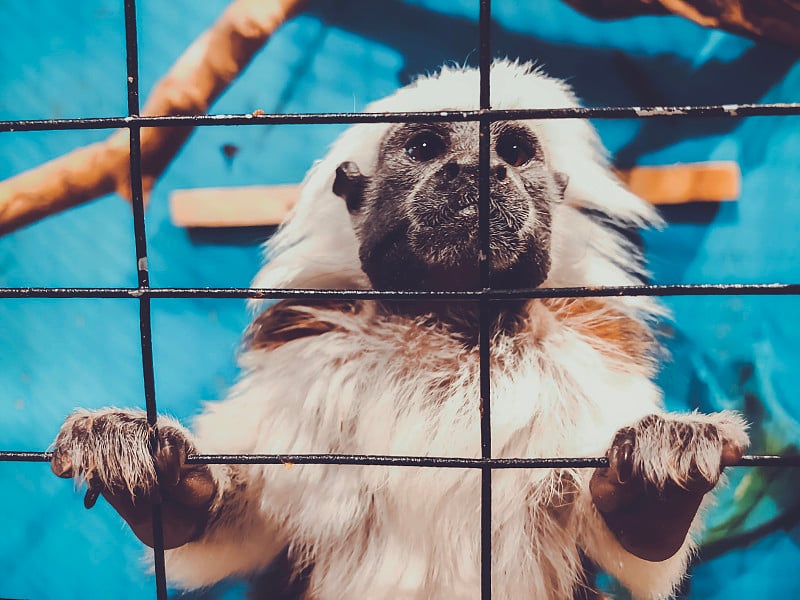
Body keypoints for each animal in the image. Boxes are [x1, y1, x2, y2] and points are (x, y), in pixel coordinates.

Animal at [51, 62, 752, 600]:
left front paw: (654, 484)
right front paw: (155, 472)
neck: (454, 329)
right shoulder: (306, 353)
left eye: (513, 151)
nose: (479, 170)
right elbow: (230, 519)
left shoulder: (592, 350)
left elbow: (636, 536)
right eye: (426, 149)